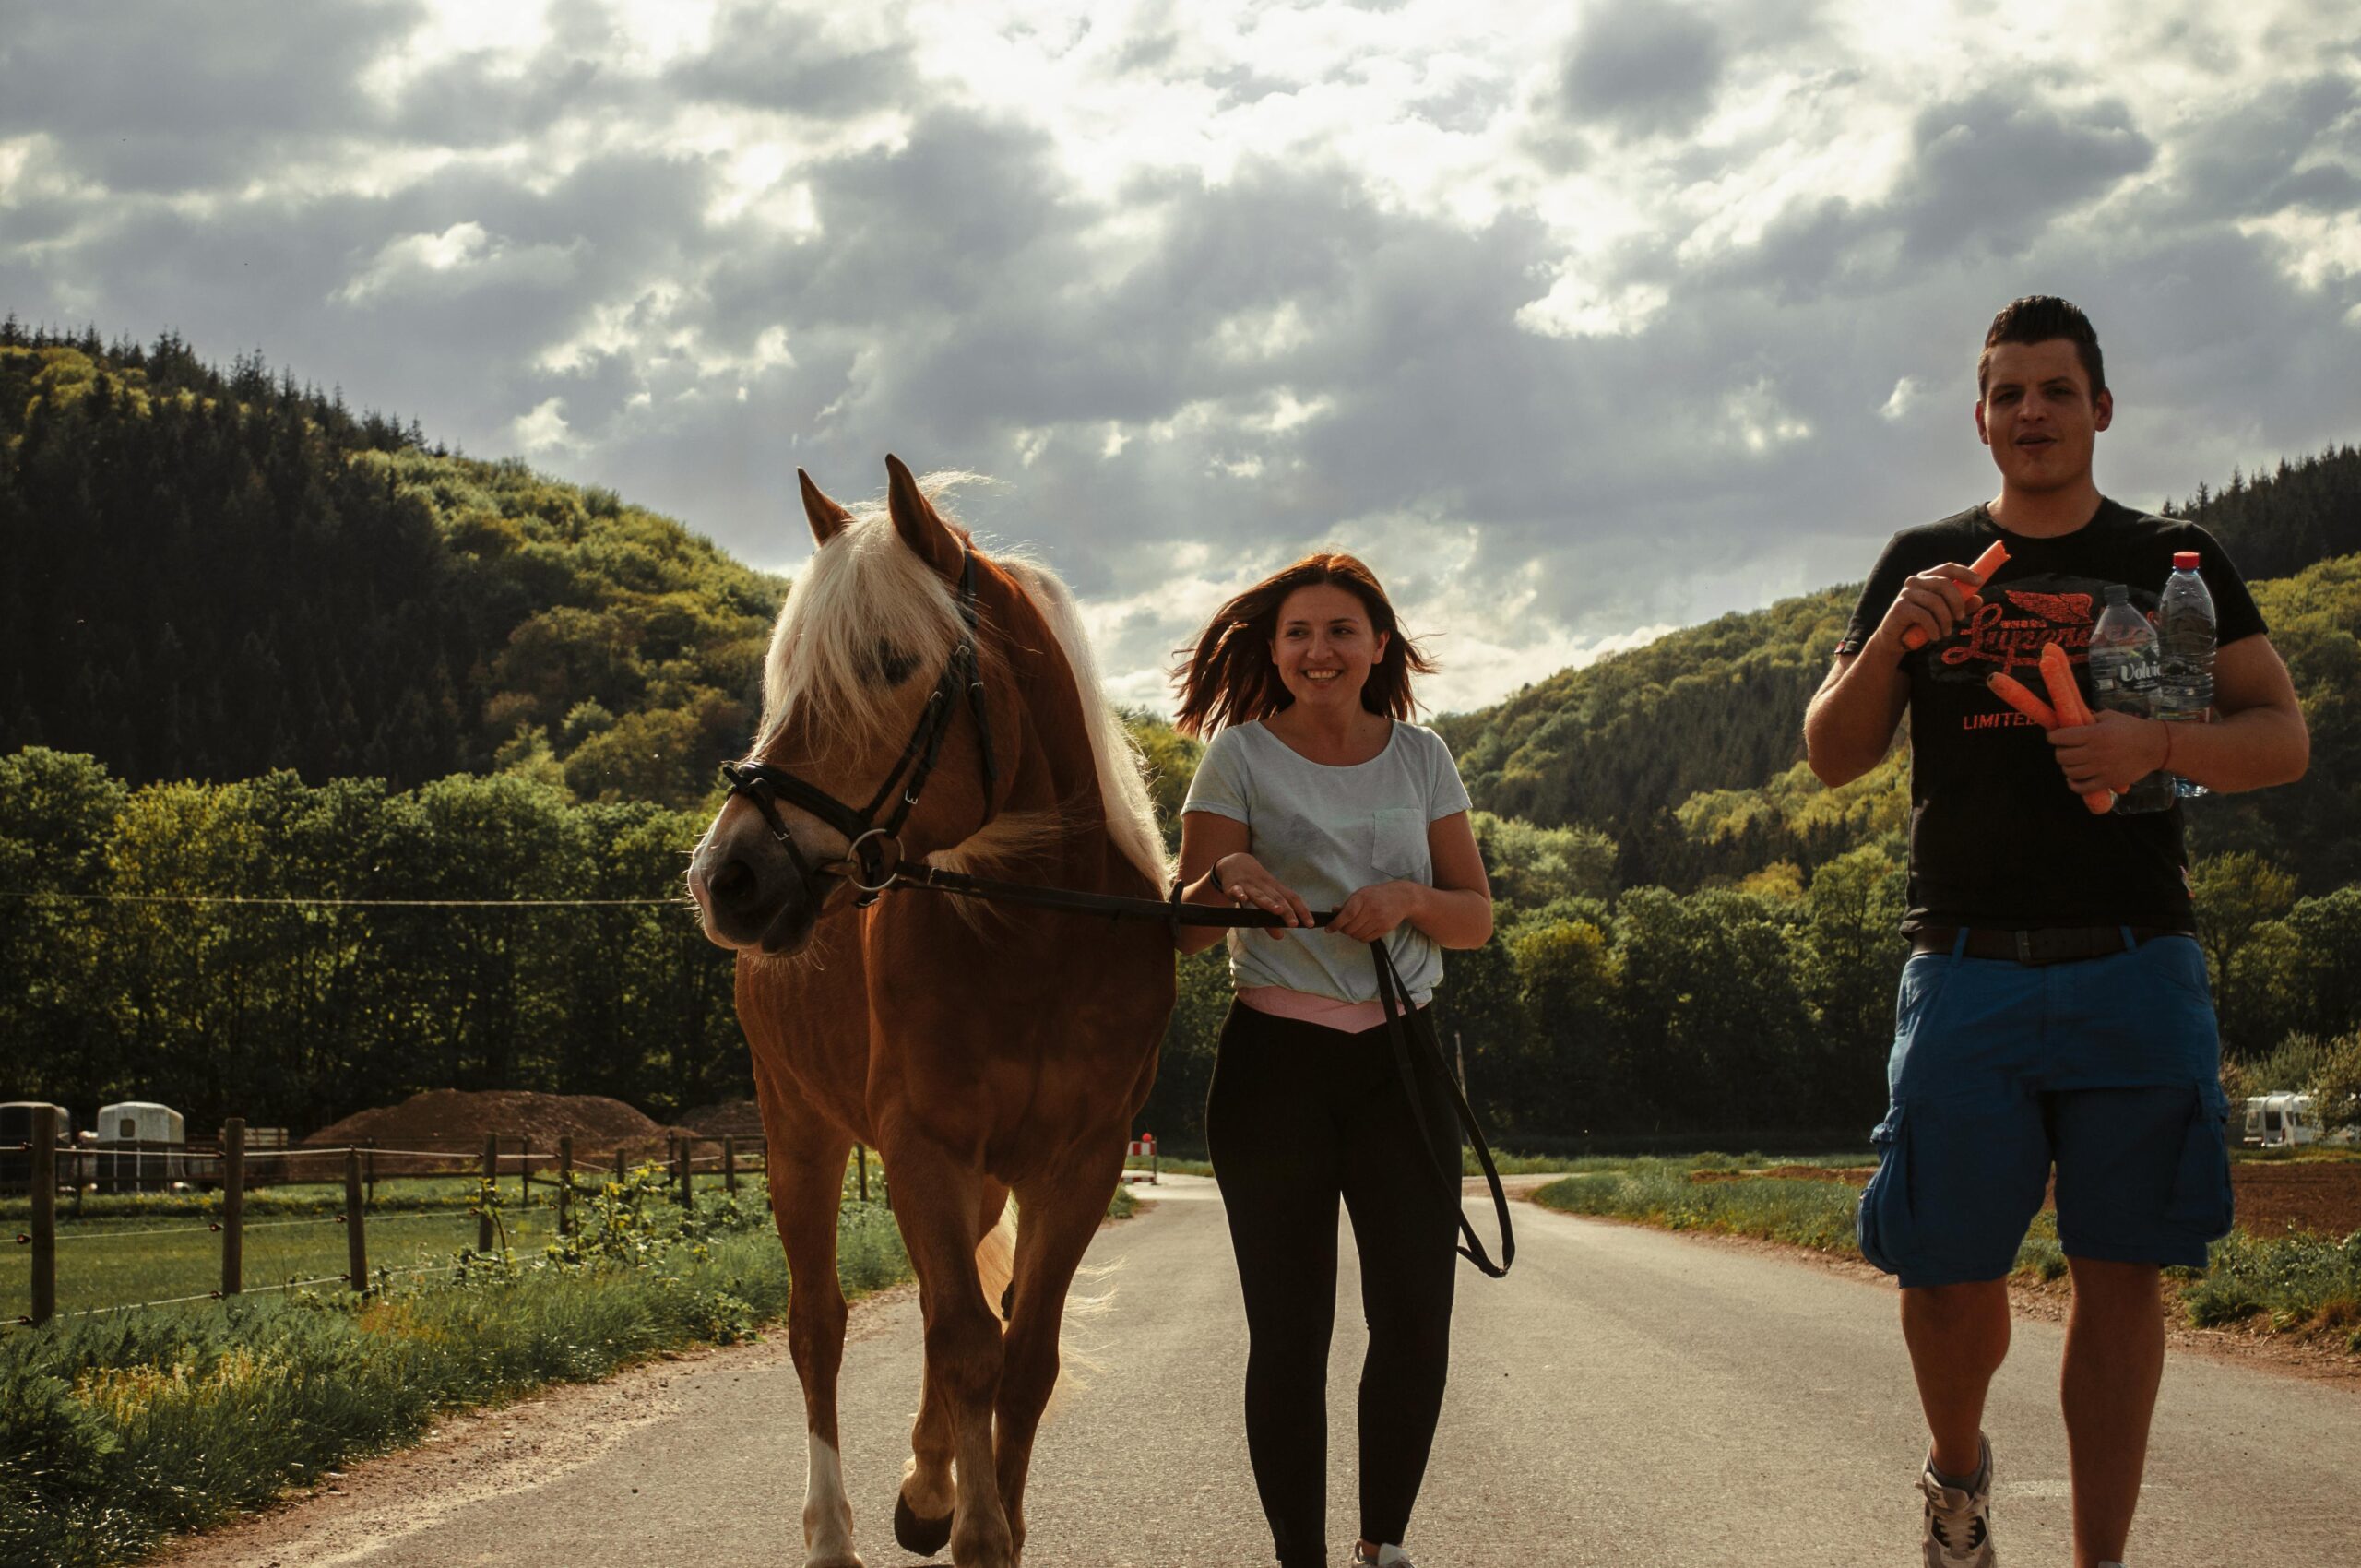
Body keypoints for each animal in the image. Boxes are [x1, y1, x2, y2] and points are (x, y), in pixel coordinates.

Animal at [684, 460, 1170, 1568]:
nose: (727, 876)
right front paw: (980, 1528)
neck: (1037, 940)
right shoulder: (920, 1147)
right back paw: (835, 1530)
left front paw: (986, 1512)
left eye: (890, 661)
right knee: (818, 1324)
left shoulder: (1076, 1163)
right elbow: (963, 1344)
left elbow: (1020, 1354)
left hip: (977, 1179)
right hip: (799, 1132)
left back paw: (925, 1481)